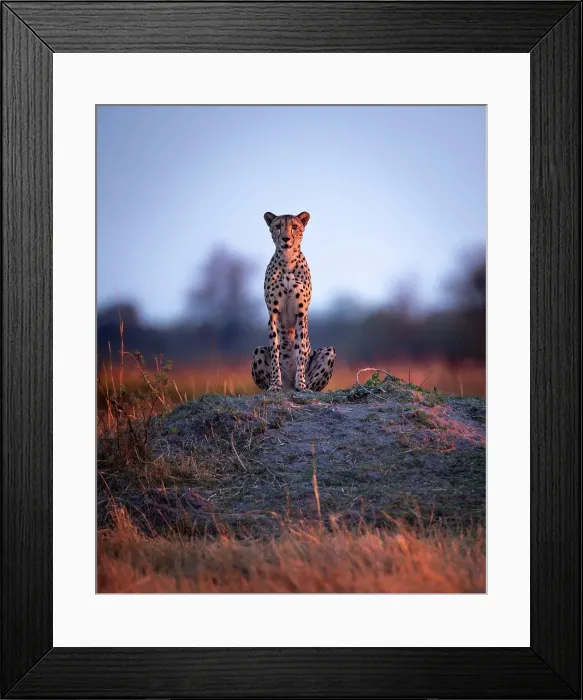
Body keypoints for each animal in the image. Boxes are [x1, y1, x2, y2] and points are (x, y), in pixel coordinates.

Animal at [251, 211, 335, 393]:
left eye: (294, 227)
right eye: (277, 226)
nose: (285, 238)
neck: (287, 260)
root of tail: (288, 387)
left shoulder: (300, 314)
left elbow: (300, 352)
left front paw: (301, 384)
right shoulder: (273, 314)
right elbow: (275, 352)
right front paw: (275, 384)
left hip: (328, 351)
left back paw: (303, 386)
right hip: (258, 350)